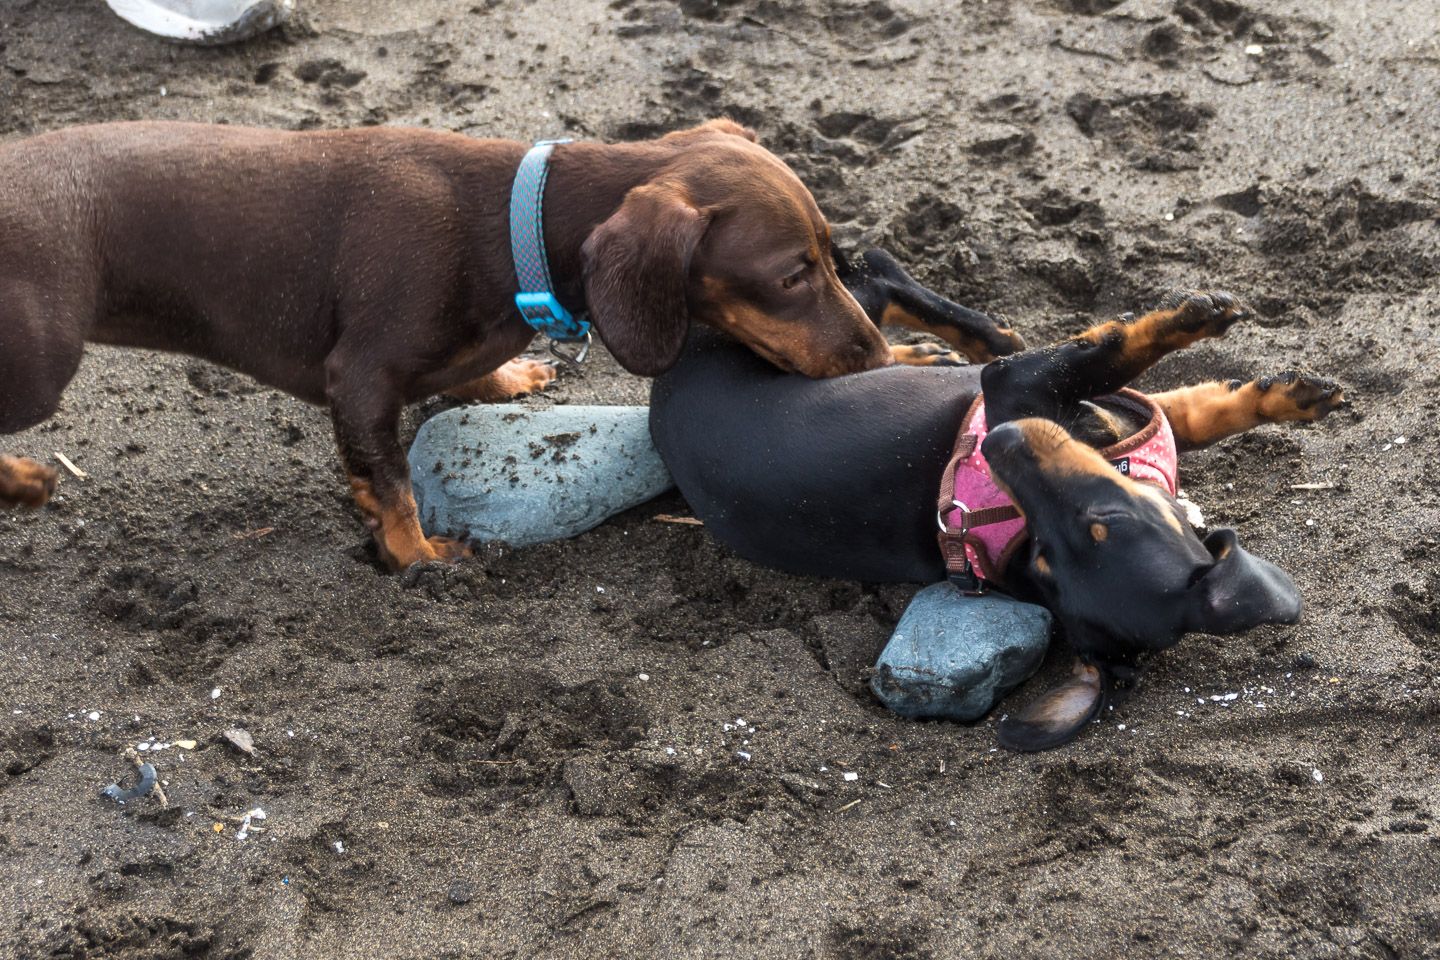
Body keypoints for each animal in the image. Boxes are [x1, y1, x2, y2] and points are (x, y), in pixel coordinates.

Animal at [648, 250, 1342, 748]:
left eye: (1089, 528)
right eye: (1050, 549)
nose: (1001, 441)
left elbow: (1181, 406)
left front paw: (1281, 394)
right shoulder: (1020, 385)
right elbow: (1119, 353)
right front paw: (1209, 325)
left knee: (877, 292)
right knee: (878, 282)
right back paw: (949, 331)